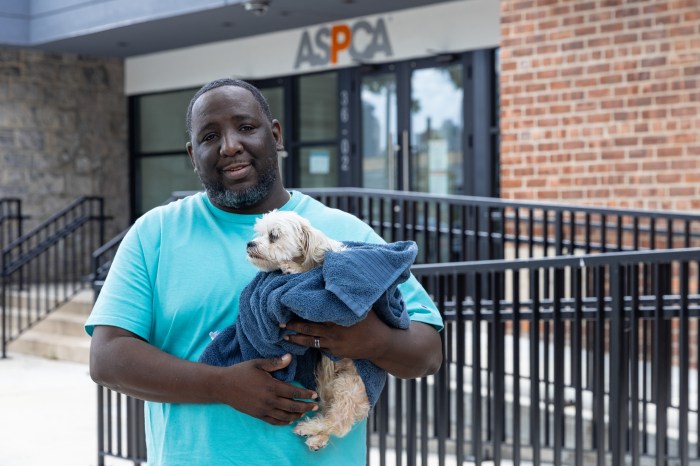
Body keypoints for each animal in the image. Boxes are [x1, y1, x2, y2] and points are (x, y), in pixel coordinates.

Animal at [246, 211, 372, 452]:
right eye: (258, 233)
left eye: (273, 236)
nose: (250, 243)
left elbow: (313, 272)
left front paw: (294, 269)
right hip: (326, 382)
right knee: (329, 409)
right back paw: (317, 438)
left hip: (351, 384)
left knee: (340, 422)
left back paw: (310, 428)